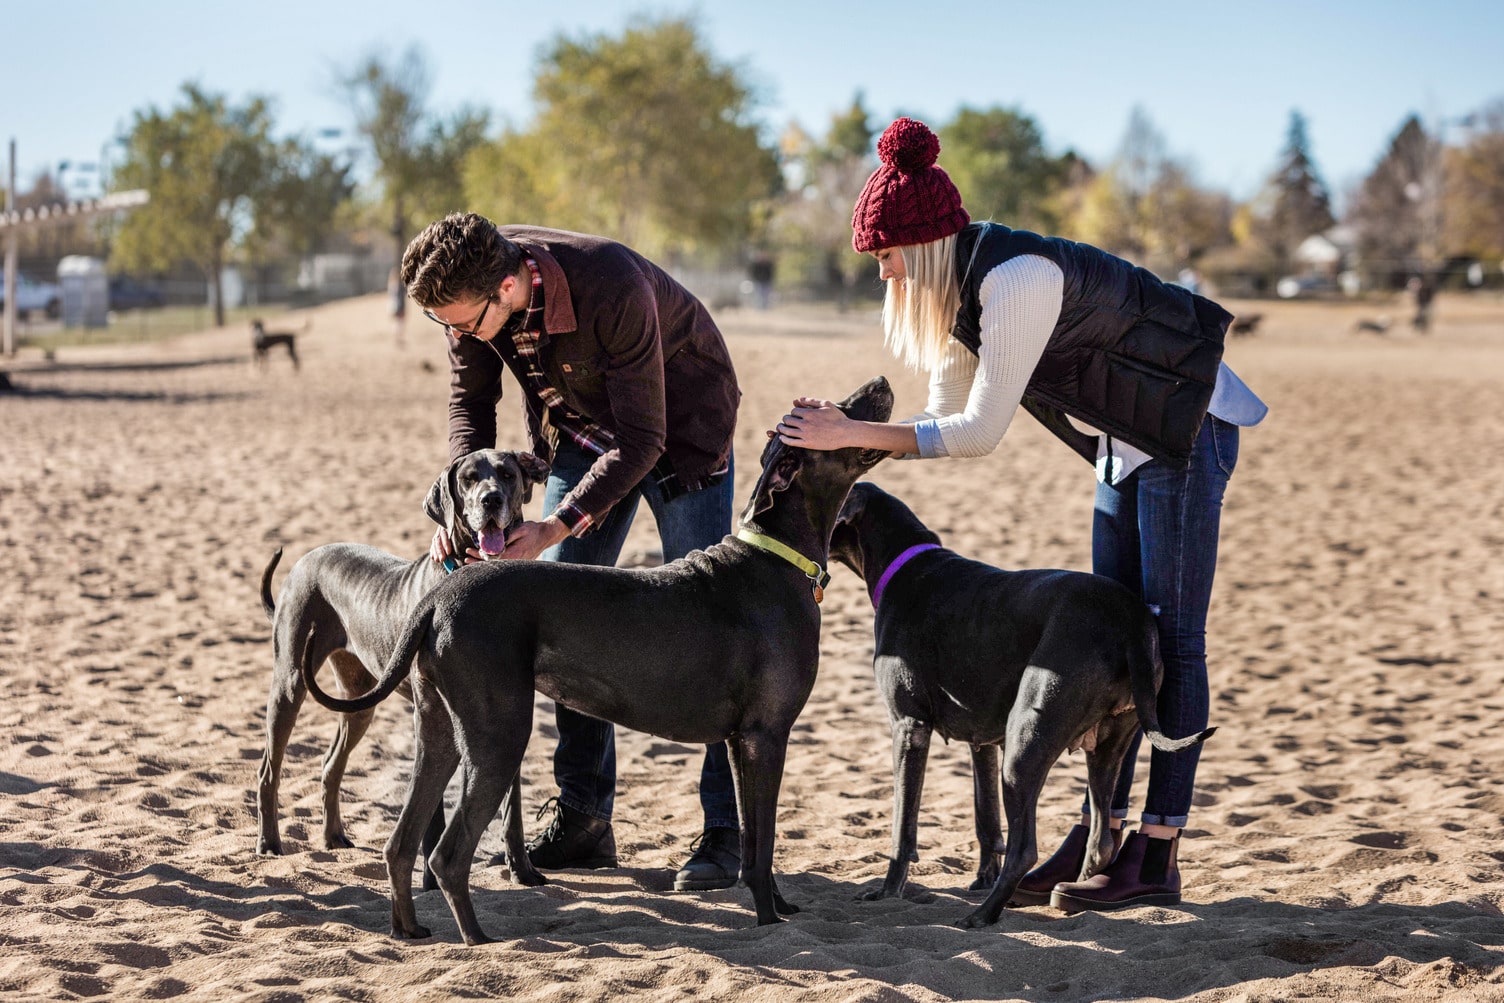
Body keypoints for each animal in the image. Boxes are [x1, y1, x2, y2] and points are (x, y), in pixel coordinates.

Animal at [255, 451, 550, 890]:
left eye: (507, 474)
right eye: (468, 478)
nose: (491, 500)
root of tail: (305, 559)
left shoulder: (502, 715)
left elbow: (512, 807)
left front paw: (523, 869)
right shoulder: (432, 714)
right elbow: (433, 810)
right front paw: (428, 881)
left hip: (359, 702)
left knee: (330, 765)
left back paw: (333, 835)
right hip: (291, 683)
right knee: (268, 771)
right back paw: (270, 842)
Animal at [303, 374, 890, 944]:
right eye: (834, 411)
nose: (881, 381)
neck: (776, 554)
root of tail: (438, 597)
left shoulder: (740, 740)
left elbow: (753, 843)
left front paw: (781, 907)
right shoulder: (765, 736)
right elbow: (763, 842)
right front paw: (769, 920)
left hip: (441, 727)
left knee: (401, 842)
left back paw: (409, 928)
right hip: (498, 732)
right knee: (448, 855)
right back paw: (479, 939)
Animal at [830, 481, 1215, 932]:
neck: (904, 562)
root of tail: (1130, 619)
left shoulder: (909, 727)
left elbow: (902, 828)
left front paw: (889, 891)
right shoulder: (982, 740)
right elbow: (985, 818)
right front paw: (981, 877)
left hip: (1025, 742)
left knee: (1026, 849)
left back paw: (983, 914)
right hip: (1110, 743)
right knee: (1101, 837)